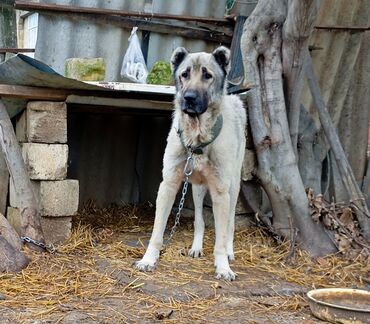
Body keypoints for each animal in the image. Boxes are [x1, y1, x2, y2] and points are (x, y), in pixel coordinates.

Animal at [134, 46, 247, 280]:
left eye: (207, 75)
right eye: (184, 74)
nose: (189, 98)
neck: (197, 137)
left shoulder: (221, 192)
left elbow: (221, 237)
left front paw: (223, 266)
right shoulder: (168, 185)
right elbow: (157, 232)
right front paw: (149, 259)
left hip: (233, 187)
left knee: (230, 223)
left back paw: (229, 252)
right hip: (196, 188)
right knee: (199, 220)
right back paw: (196, 247)